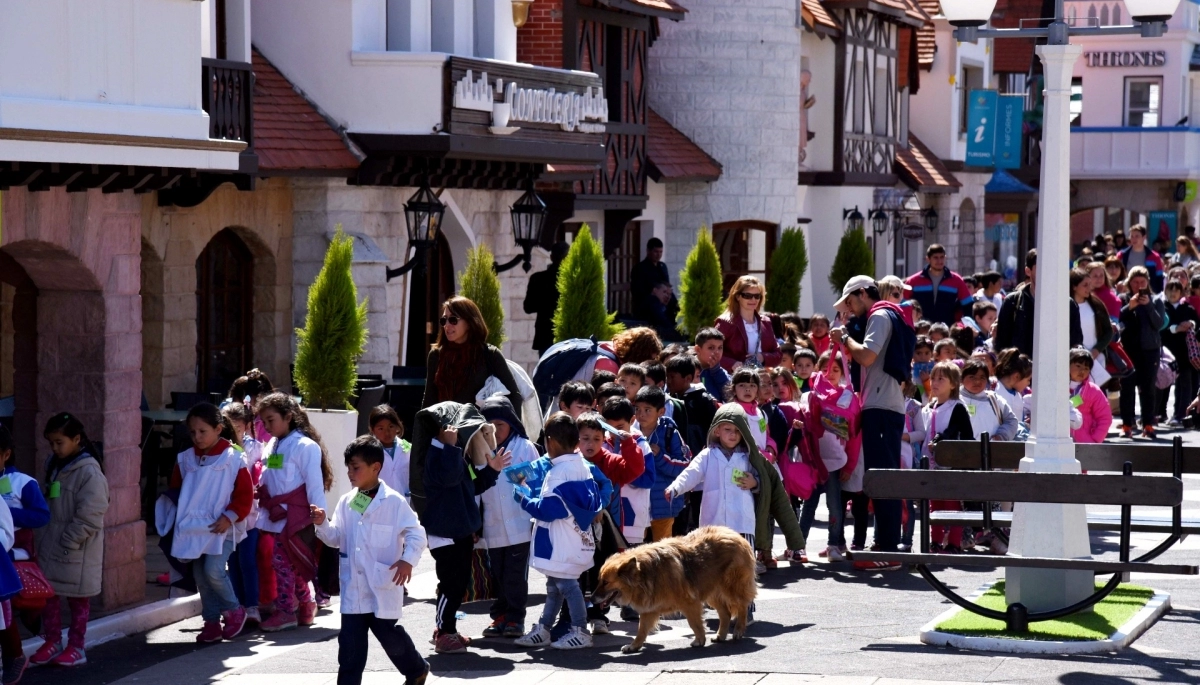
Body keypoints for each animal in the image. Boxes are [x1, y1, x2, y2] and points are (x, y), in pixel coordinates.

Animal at [592, 525, 753, 652]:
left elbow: (694, 623)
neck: (643, 574)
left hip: (730, 588)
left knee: (742, 606)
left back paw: (739, 630)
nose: (591, 599)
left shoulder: (690, 603)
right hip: (711, 593)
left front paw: (699, 640)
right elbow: (641, 630)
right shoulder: (649, 609)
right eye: (599, 581)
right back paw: (721, 635)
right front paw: (634, 646)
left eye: (606, 582)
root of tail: (734, 533)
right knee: (726, 613)